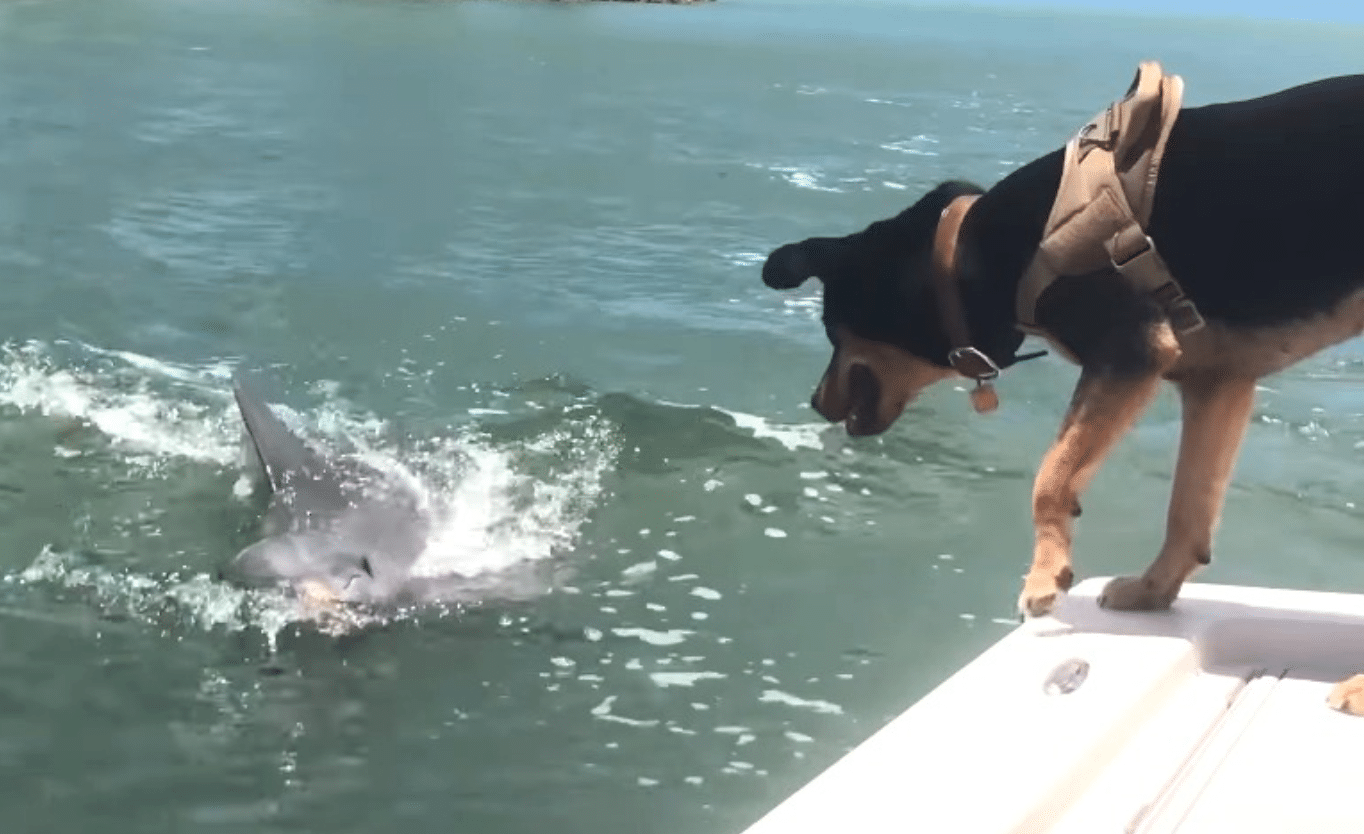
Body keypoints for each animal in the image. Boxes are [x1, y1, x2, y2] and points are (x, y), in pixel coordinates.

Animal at [763, 70, 1364, 709]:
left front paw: (1045, 576)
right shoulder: (1217, 383)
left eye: (831, 330)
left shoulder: (1129, 351)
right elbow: (1188, 509)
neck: (970, 254)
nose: (814, 401)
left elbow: (1051, 476)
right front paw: (1152, 591)